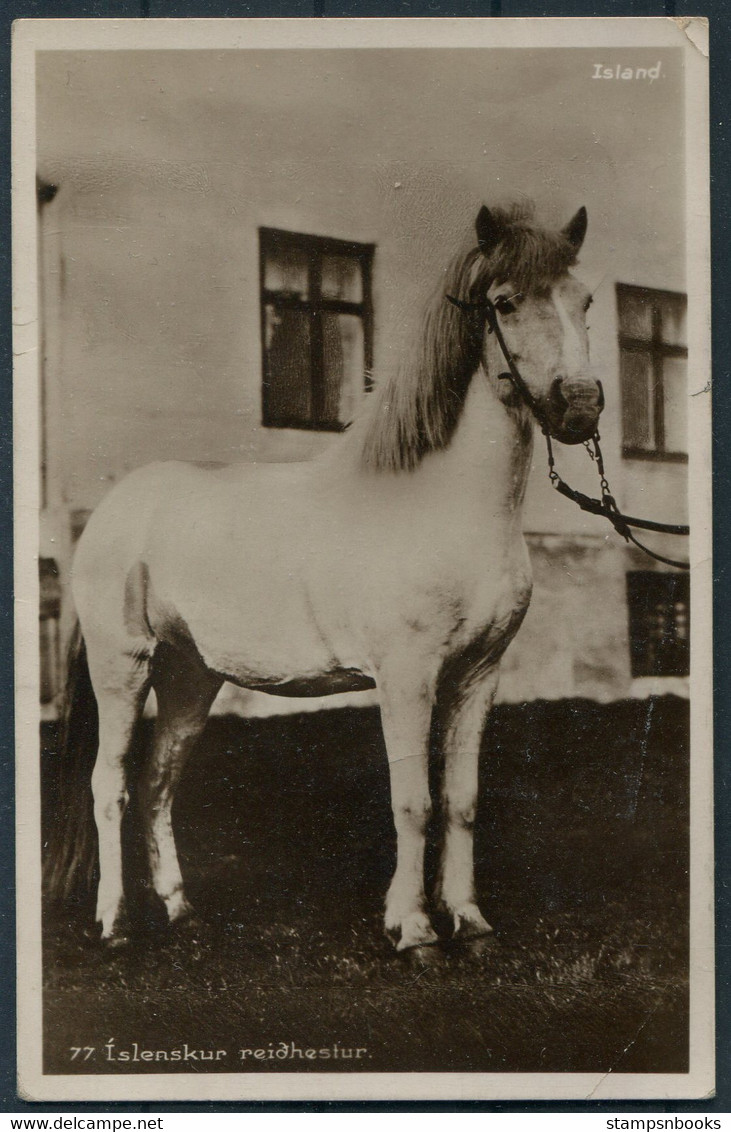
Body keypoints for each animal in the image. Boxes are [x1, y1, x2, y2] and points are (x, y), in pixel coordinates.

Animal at [48, 201, 606, 946]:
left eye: (584, 301)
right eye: (506, 302)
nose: (580, 405)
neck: (443, 505)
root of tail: (115, 508)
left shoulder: (477, 676)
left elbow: (460, 800)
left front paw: (467, 918)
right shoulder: (406, 676)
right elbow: (414, 802)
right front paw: (413, 928)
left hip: (190, 675)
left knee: (158, 782)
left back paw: (178, 906)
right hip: (123, 668)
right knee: (108, 786)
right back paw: (114, 922)